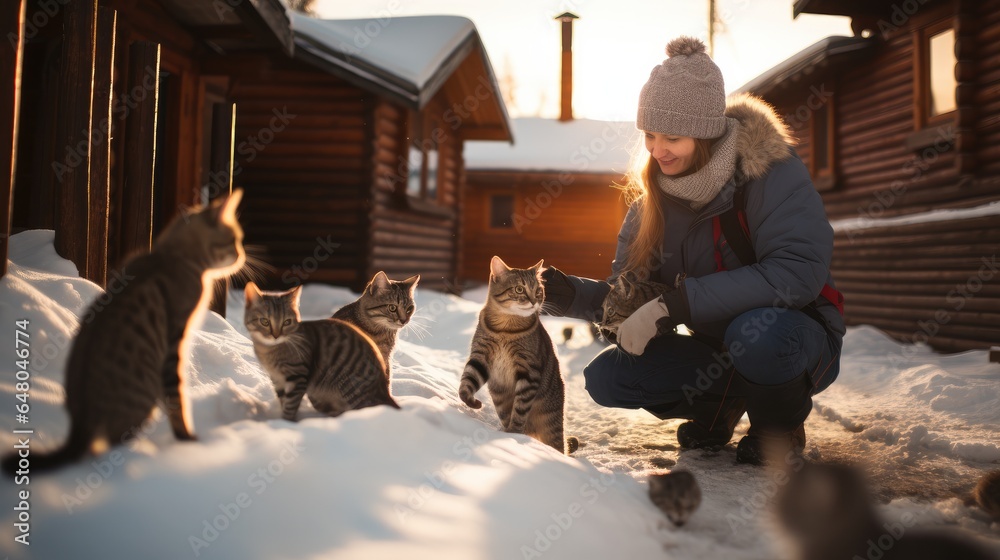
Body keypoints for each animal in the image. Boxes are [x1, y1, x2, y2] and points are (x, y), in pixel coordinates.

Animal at [2, 191, 248, 472]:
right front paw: (189, 441)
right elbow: (177, 401)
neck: (172, 255)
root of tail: (79, 426)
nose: (242, 255)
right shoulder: (175, 341)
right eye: (234, 240)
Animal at [244, 284, 400, 420]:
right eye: (264, 321)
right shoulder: (277, 379)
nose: (276, 335)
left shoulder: (298, 377)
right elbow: (283, 401)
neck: (269, 351)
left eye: (286, 322)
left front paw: (286, 422)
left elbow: (290, 405)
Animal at [458, 258, 576, 456]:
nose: (534, 301)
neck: (505, 328)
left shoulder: (529, 371)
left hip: (550, 421)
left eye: (538, 290)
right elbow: (466, 383)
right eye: (519, 289)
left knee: (557, 444)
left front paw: (513, 435)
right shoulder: (481, 356)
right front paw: (471, 401)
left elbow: (520, 410)